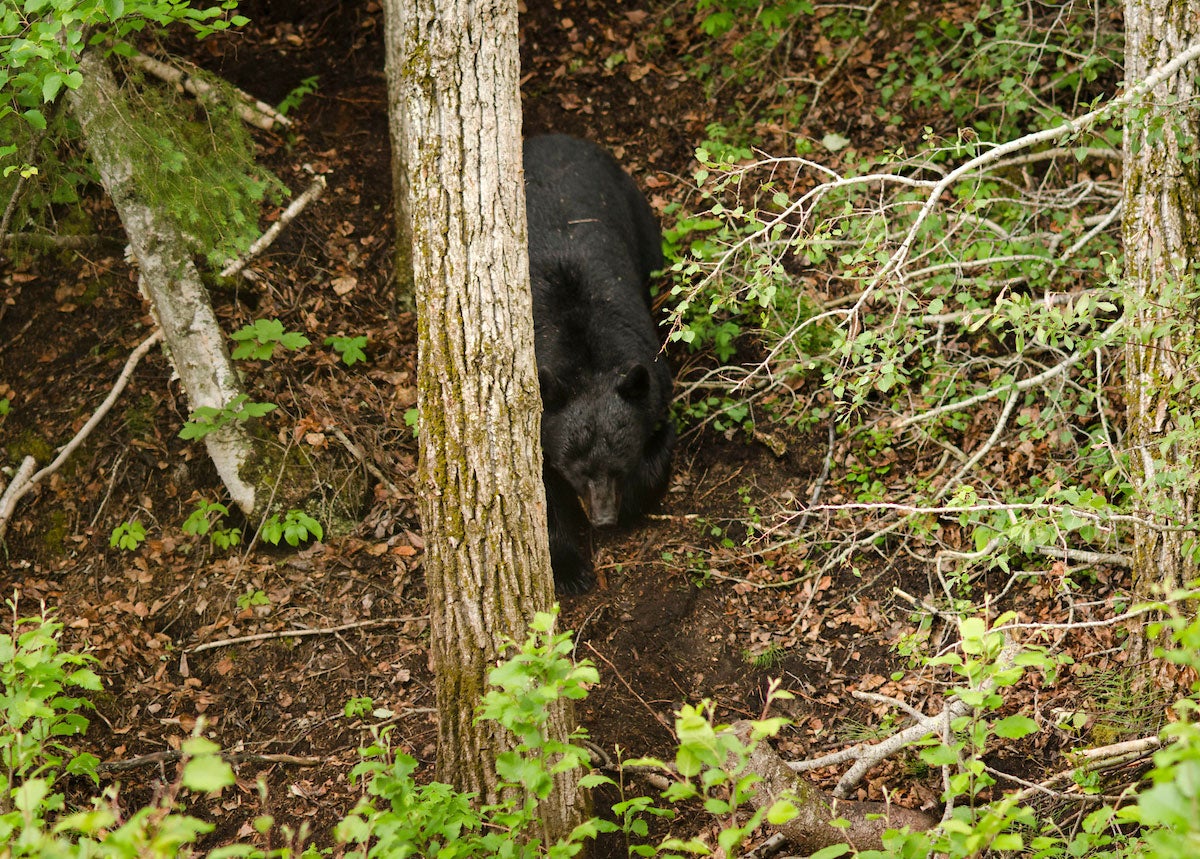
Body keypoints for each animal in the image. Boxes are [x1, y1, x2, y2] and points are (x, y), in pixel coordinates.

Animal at [525, 134, 676, 595]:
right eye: (576, 469)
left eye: (618, 463)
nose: (604, 517)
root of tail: (552, 137)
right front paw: (570, 570)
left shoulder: (653, 378)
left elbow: (659, 443)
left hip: (636, 213)